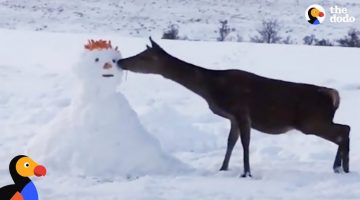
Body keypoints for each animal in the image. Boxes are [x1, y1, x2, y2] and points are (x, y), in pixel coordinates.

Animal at [118, 37, 352, 177]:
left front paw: (246, 173)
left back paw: (341, 167)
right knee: (344, 129)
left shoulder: (241, 111)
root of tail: (333, 96)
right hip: (315, 121)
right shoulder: (232, 117)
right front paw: (223, 168)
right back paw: (340, 168)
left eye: (144, 56)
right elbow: (231, 142)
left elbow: (245, 143)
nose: (120, 62)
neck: (212, 89)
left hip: (310, 121)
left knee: (344, 130)